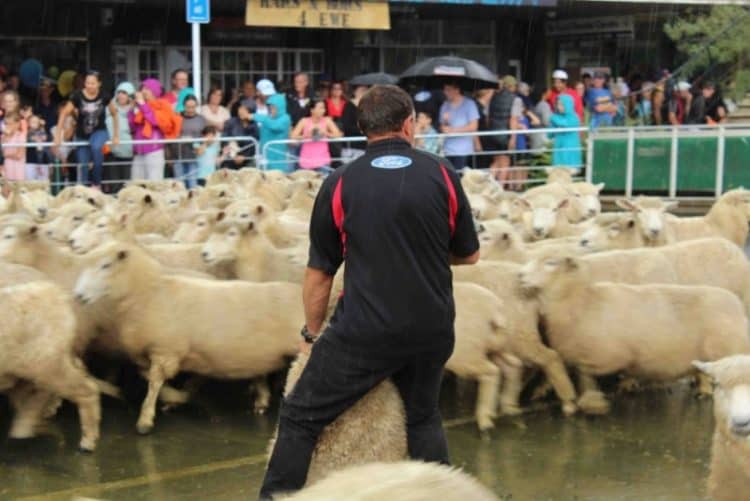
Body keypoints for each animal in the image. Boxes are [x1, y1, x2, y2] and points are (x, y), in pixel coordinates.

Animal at [72, 240, 302, 432]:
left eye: (105, 265)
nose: (79, 295)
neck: (150, 291)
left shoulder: (165, 351)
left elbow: (155, 383)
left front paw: (145, 420)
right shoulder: (155, 353)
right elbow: (154, 379)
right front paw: (174, 398)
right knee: (261, 373)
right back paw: (261, 399)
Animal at [520, 256, 750, 412]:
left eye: (550, 263)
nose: (520, 275)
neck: (583, 301)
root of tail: (737, 306)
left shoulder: (607, 355)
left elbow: (585, 373)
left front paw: (592, 402)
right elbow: (565, 368)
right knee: (702, 372)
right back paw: (702, 392)